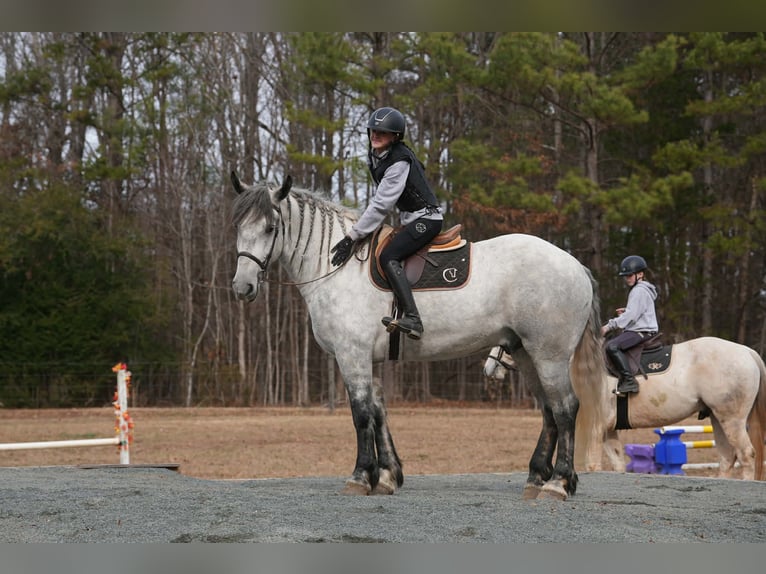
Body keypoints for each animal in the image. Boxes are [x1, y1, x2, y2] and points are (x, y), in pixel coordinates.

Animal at [229, 172, 607, 500]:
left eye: (271, 227)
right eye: (239, 226)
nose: (242, 287)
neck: (335, 266)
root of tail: (575, 265)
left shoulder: (352, 355)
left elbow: (361, 414)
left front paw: (360, 476)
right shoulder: (369, 359)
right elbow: (378, 412)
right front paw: (386, 475)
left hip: (550, 356)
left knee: (565, 408)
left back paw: (558, 482)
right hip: (527, 354)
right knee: (548, 410)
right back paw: (537, 476)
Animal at [483, 338, 766, 480]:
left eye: (503, 343)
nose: (487, 369)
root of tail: (748, 352)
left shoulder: (594, 429)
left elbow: (593, 465)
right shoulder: (608, 432)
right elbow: (618, 464)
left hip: (732, 419)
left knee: (746, 455)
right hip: (718, 418)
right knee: (727, 457)